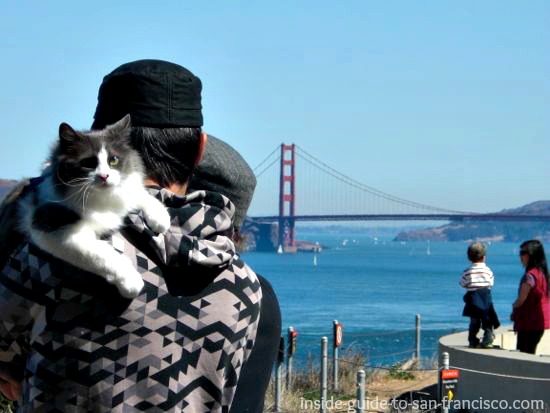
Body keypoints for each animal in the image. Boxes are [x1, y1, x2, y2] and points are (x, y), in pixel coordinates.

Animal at [15, 114, 170, 298]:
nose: (104, 176)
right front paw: (131, 282)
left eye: (113, 160)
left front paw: (161, 219)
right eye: (88, 163)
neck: (100, 198)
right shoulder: (51, 228)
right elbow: (101, 254)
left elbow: (140, 194)